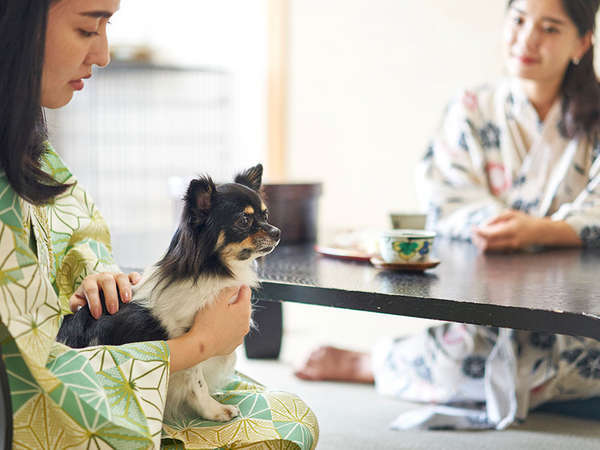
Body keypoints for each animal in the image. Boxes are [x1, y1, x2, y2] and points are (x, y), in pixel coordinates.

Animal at [56, 165, 282, 422]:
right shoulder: (186, 336)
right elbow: (197, 382)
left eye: (266, 215)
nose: (277, 232)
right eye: (244, 220)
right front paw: (213, 409)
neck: (214, 268)